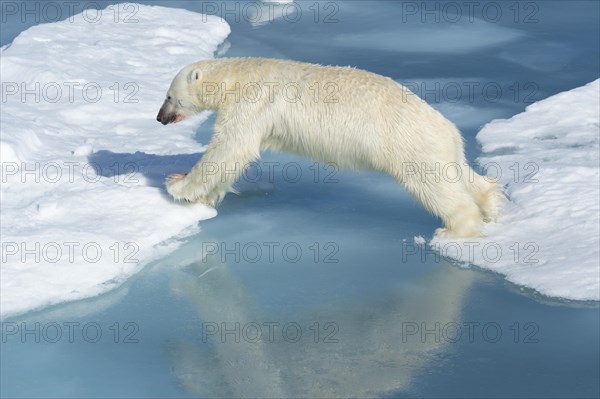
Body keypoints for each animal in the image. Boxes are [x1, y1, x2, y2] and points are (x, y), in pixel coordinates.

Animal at [156, 56, 502, 238]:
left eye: (170, 96)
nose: (159, 118)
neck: (237, 75)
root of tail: (449, 129)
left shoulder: (252, 102)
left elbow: (230, 147)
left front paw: (176, 183)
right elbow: (232, 159)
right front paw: (204, 196)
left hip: (409, 144)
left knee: (435, 185)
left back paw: (454, 230)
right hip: (440, 146)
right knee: (459, 173)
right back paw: (490, 204)